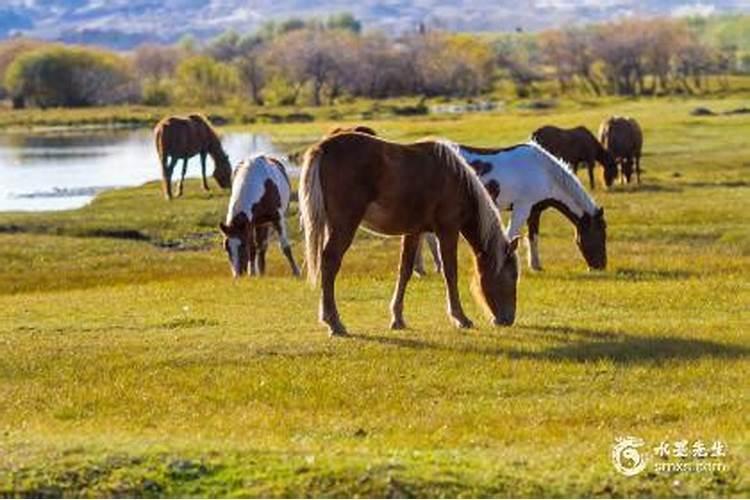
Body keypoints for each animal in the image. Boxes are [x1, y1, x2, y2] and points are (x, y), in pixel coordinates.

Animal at [300, 132, 524, 336]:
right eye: (512, 275)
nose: (508, 319)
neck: (456, 179)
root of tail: (324, 147)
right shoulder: (447, 230)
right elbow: (450, 272)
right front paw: (460, 318)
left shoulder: (413, 232)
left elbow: (405, 271)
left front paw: (397, 318)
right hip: (345, 225)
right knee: (330, 262)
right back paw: (334, 322)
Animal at [420, 141, 608, 272]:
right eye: (600, 236)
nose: (601, 266)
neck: (542, 171)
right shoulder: (521, 208)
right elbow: (511, 234)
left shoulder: (534, 210)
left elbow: (533, 236)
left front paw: (536, 265)